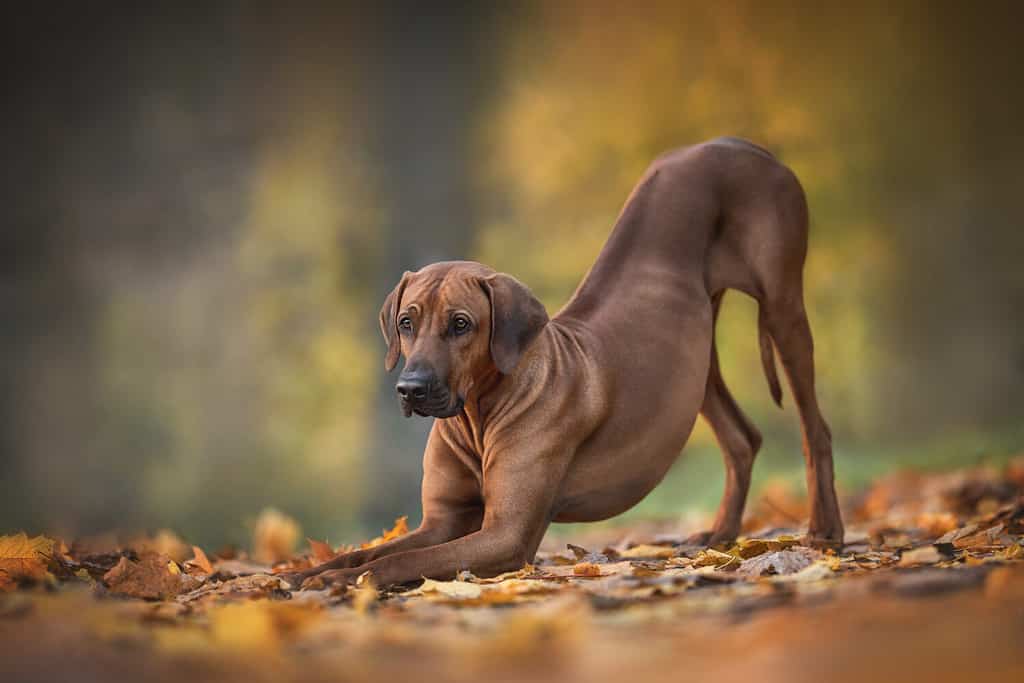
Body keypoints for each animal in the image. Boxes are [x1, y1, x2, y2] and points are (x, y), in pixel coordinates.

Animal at [286, 137, 839, 589]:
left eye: (461, 324)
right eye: (406, 322)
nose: (411, 389)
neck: (477, 414)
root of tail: (741, 144)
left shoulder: (505, 534)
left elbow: (396, 562)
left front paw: (344, 581)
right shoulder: (441, 521)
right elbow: (372, 551)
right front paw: (310, 572)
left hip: (782, 303)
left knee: (815, 428)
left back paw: (823, 532)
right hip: (693, 359)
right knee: (741, 437)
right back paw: (721, 537)